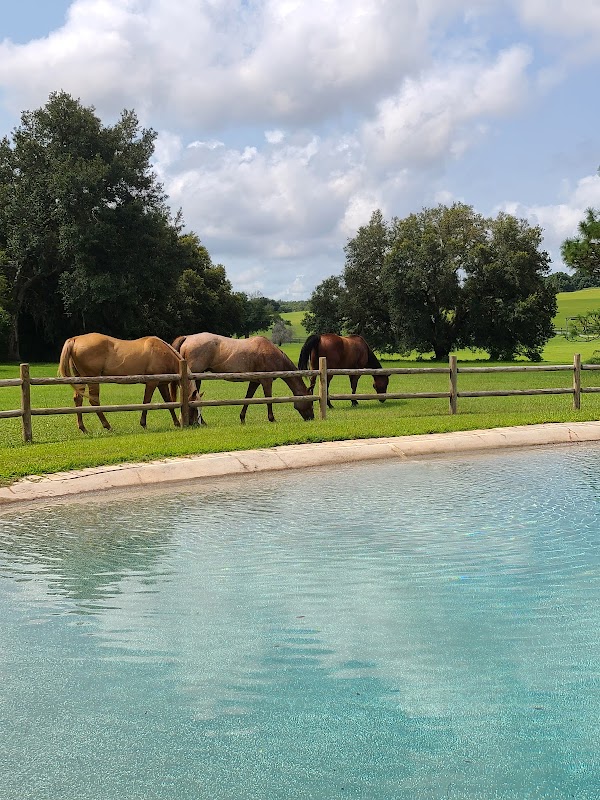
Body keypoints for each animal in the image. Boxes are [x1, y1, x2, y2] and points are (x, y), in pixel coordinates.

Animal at [58, 333, 197, 433]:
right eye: (193, 407)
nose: (194, 423)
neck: (162, 352)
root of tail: (75, 339)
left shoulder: (161, 384)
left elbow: (168, 403)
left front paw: (176, 423)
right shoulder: (152, 382)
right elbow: (146, 402)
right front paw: (143, 424)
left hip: (80, 379)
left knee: (78, 399)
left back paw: (83, 428)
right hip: (92, 379)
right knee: (94, 401)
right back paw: (107, 426)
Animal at [172, 333, 315, 424]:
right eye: (310, 402)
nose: (311, 418)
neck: (272, 354)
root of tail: (187, 338)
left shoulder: (255, 382)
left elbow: (248, 399)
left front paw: (242, 418)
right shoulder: (266, 381)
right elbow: (268, 399)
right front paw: (272, 419)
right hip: (196, 376)